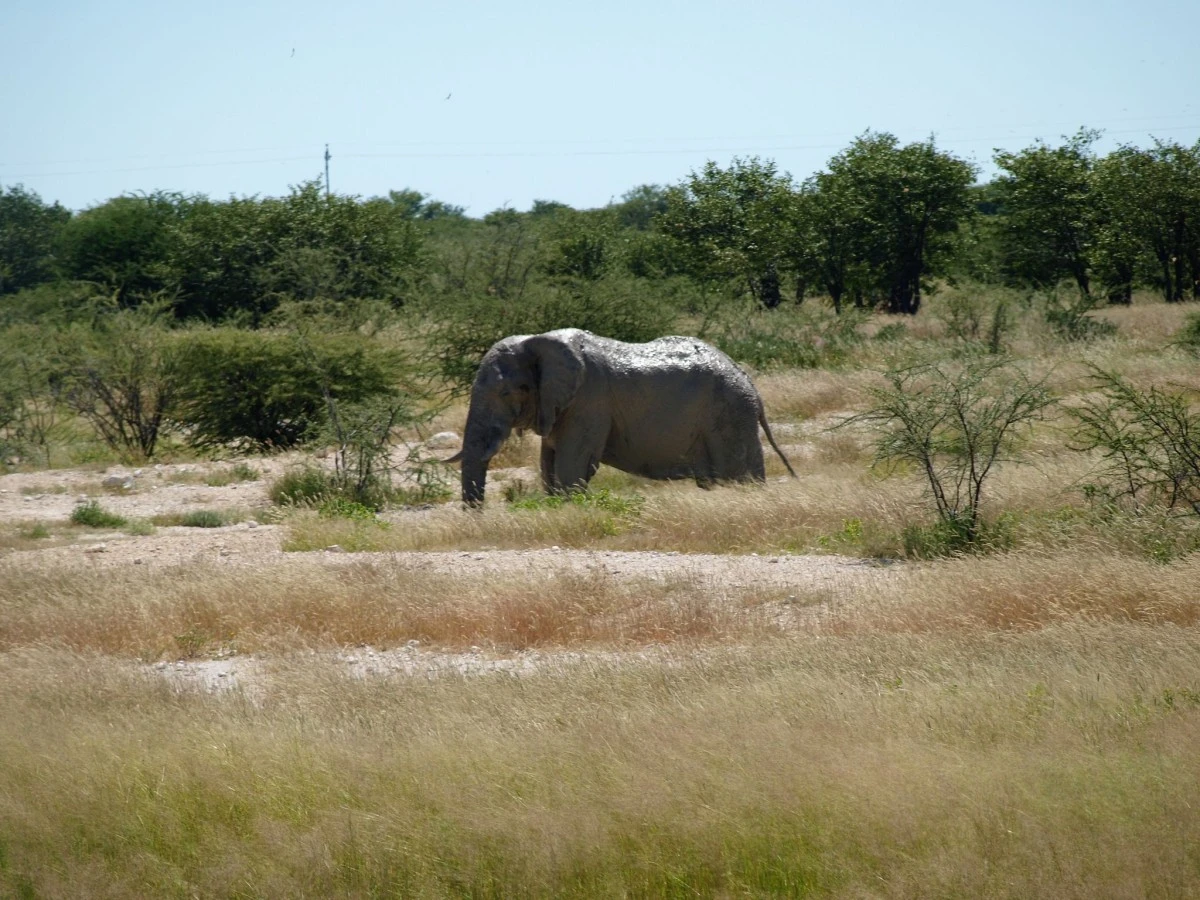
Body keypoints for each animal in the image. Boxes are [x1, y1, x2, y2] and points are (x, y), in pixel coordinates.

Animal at [446, 328, 792, 508]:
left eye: (507, 393)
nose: (478, 515)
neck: (537, 340)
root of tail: (751, 384)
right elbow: (549, 462)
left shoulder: (589, 401)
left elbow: (571, 464)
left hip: (730, 416)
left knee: (739, 476)